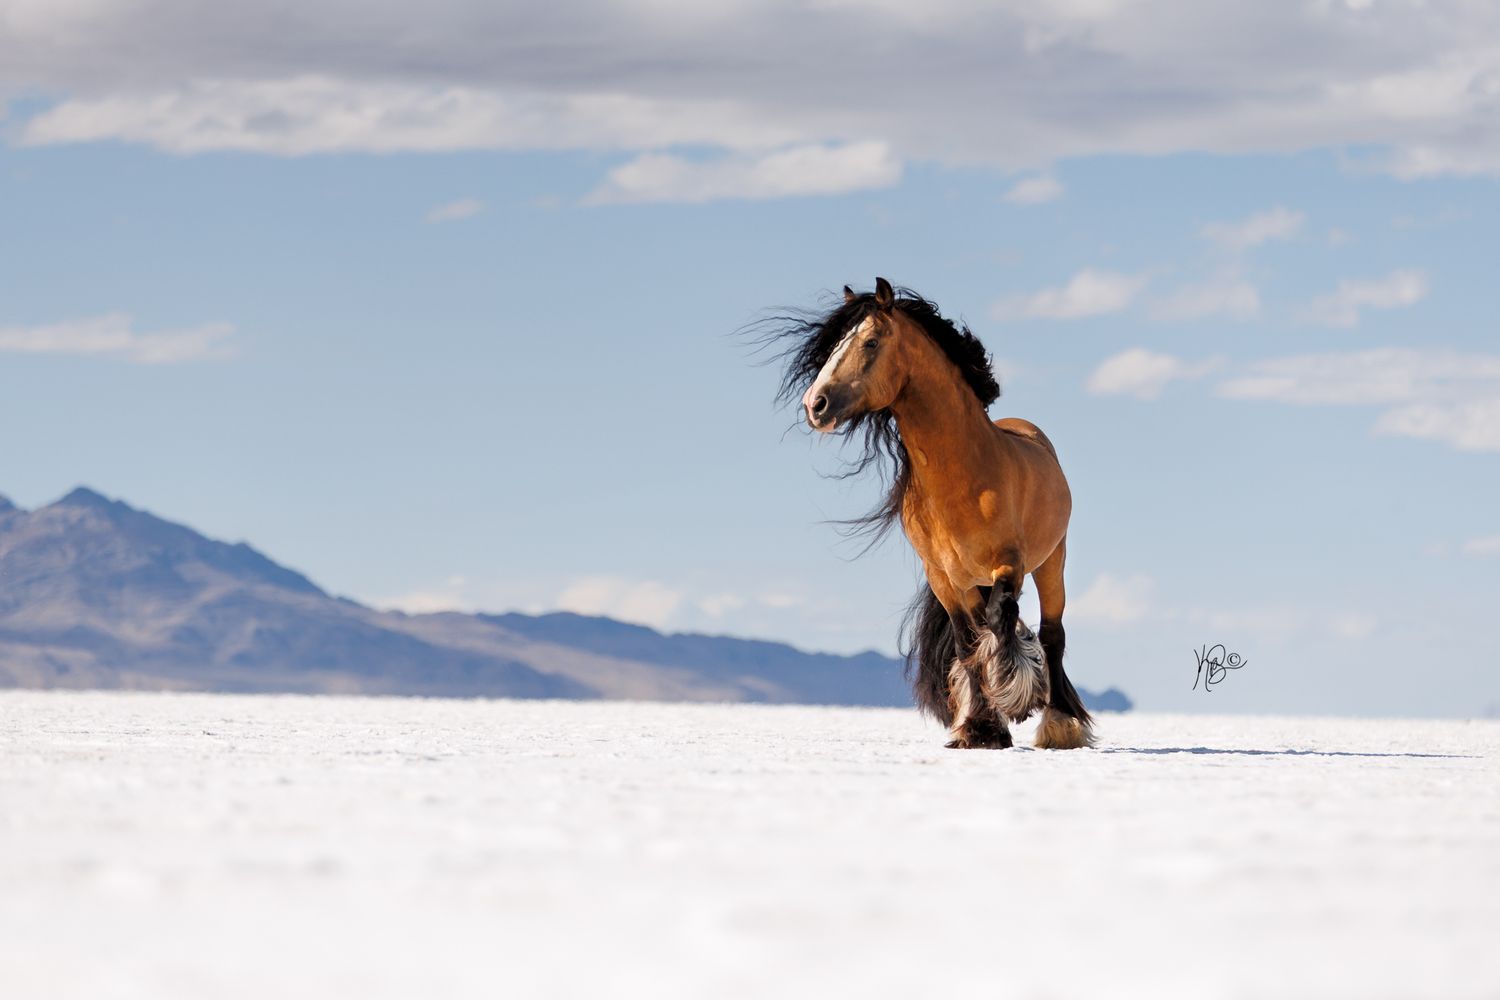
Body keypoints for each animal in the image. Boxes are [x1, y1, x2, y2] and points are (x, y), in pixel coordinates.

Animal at [770, 277, 1094, 749]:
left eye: (870, 342)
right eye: (833, 345)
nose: (816, 405)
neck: (966, 475)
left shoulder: (1008, 565)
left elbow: (1000, 621)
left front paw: (1016, 700)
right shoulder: (944, 578)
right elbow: (967, 642)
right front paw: (981, 729)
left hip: (1052, 560)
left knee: (1052, 634)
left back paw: (1060, 723)